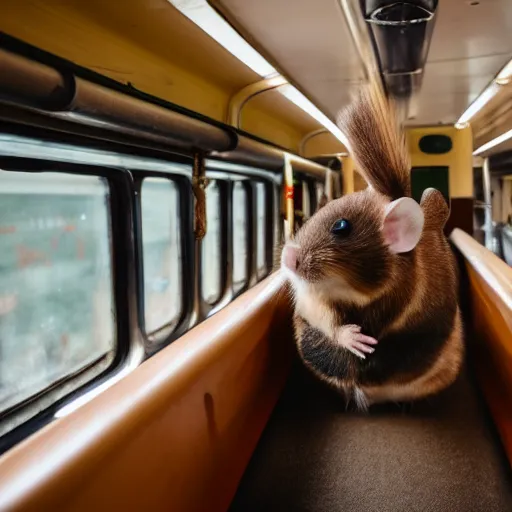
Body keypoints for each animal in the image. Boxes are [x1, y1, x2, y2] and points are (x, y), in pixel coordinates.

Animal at [282, 85, 462, 412]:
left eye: (341, 227)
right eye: (315, 213)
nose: (287, 259)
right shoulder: (311, 297)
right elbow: (319, 314)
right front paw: (352, 339)